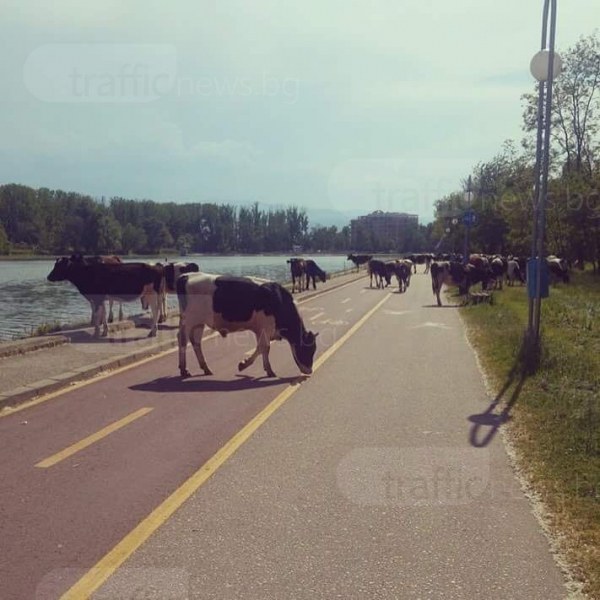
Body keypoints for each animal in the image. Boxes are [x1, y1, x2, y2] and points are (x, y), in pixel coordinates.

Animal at [176, 274, 318, 378]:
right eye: (308, 349)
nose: (309, 371)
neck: (279, 301)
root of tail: (187, 276)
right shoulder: (266, 328)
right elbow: (263, 348)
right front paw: (244, 364)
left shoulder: (261, 330)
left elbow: (263, 349)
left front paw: (267, 369)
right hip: (190, 320)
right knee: (183, 340)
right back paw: (184, 370)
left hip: (198, 323)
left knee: (195, 342)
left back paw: (205, 368)